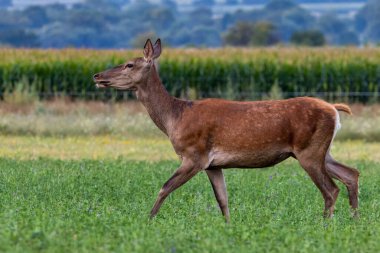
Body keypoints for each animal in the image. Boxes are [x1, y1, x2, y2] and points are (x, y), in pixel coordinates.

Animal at [93, 38, 360, 222]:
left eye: (129, 64)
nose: (96, 75)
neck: (175, 117)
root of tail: (334, 109)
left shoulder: (194, 155)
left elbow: (164, 187)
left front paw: (148, 221)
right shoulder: (213, 165)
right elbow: (223, 200)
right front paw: (229, 227)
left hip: (309, 150)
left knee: (331, 189)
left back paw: (325, 225)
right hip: (321, 150)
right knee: (351, 174)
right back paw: (354, 221)